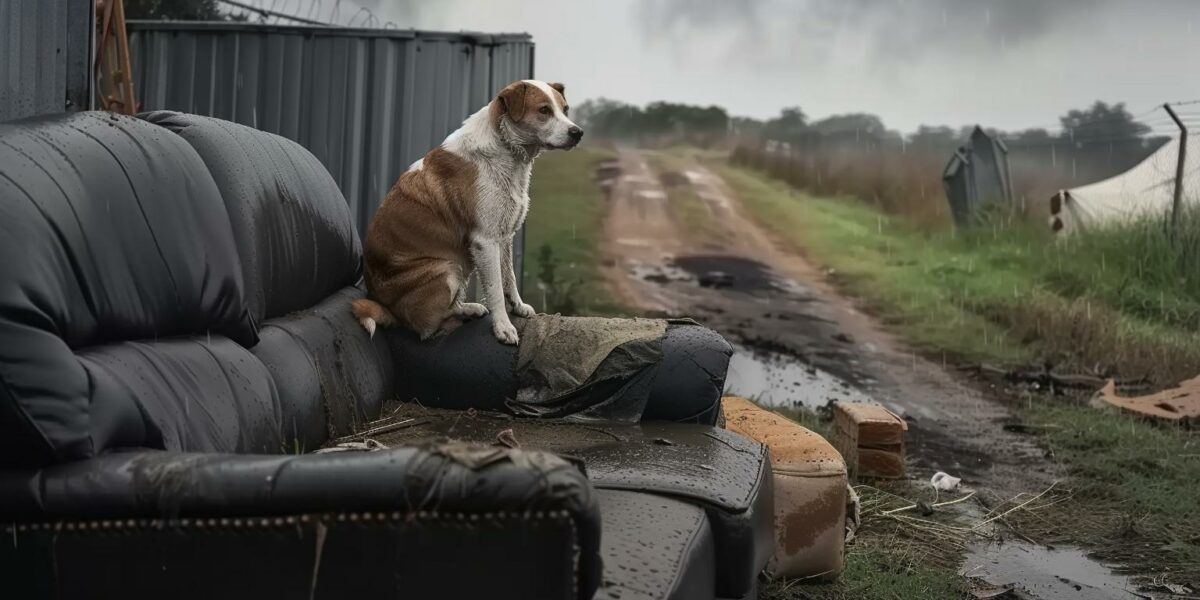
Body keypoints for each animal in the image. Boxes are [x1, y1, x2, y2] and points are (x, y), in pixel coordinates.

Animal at [350, 79, 583, 345]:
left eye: (565, 109)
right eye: (544, 110)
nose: (578, 133)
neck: (505, 149)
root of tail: (386, 307)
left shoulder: (504, 235)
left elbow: (509, 277)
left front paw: (518, 306)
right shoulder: (485, 240)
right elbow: (495, 289)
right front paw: (503, 327)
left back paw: (469, 308)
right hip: (446, 268)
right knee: (427, 326)